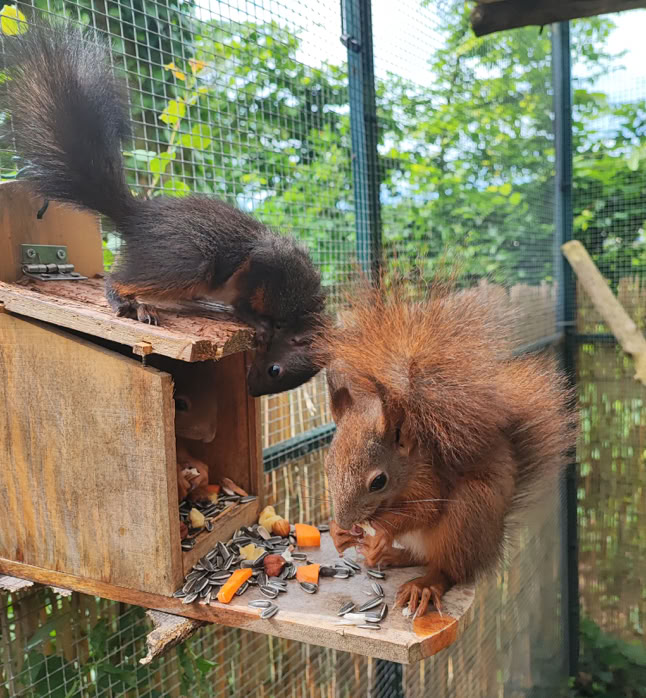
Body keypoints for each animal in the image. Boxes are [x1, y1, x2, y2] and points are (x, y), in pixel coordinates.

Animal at [1, 19, 325, 396]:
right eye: (276, 369)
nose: (252, 391)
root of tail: (137, 217)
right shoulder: (268, 268)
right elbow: (247, 297)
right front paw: (257, 323)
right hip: (183, 261)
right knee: (120, 279)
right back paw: (126, 302)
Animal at [318, 275, 577, 617]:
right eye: (328, 466)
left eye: (378, 482)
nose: (347, 521)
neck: (410, 465)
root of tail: (491, 541)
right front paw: (338, 533)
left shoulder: (431, 478)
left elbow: (424, 511)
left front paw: (381, 532)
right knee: (422, 557)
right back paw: (391, 556)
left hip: (467, 517)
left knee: (447, 568)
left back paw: (422, 583)